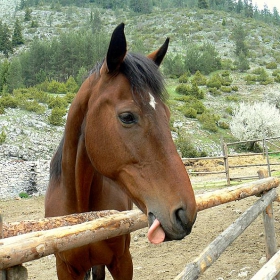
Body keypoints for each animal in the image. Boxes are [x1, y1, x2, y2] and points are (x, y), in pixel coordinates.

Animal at [44, 24, 197, 280]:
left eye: (166, 114)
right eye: (127, 117)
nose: (185, 213)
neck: (82, 216)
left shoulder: (123, 261)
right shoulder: (65, 269)